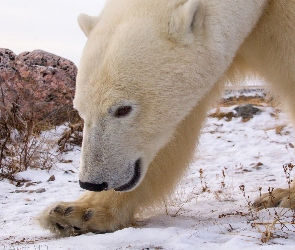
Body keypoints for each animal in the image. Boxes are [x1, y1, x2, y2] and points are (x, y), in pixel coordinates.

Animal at [37, 0, 295, 236]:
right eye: (80, 110)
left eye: (123, 109)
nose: (92, 182)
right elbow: (171, 136)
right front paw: (76, 212)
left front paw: (287, 195)